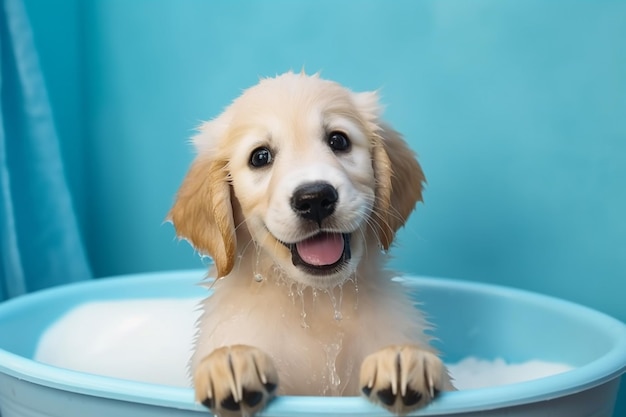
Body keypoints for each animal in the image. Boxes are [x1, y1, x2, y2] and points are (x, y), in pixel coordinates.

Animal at [168, 70, 450, 412]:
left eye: (338, 140)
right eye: (260, 157)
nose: (314, 198)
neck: (315, 301)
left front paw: (401, 358)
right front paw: (231, 361)